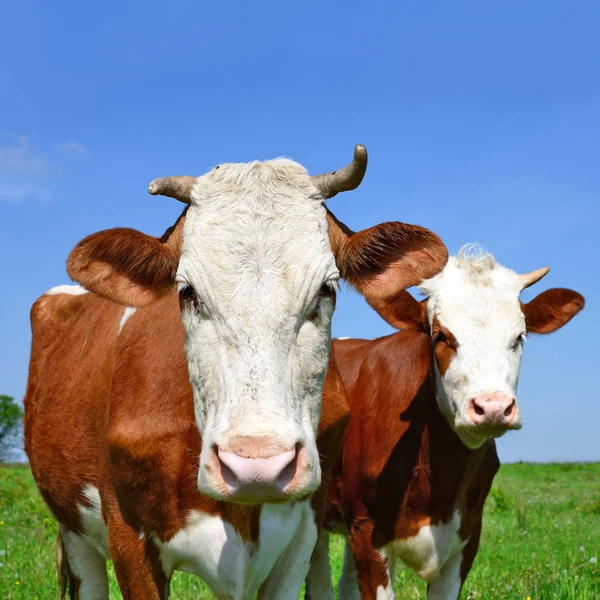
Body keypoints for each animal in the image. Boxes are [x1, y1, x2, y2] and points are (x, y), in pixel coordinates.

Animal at [24, 146, 450, 600]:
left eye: (326, 289)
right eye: (187, 292)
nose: (256, 467)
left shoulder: (303, 534)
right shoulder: (127, 535)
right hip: (74, 530)